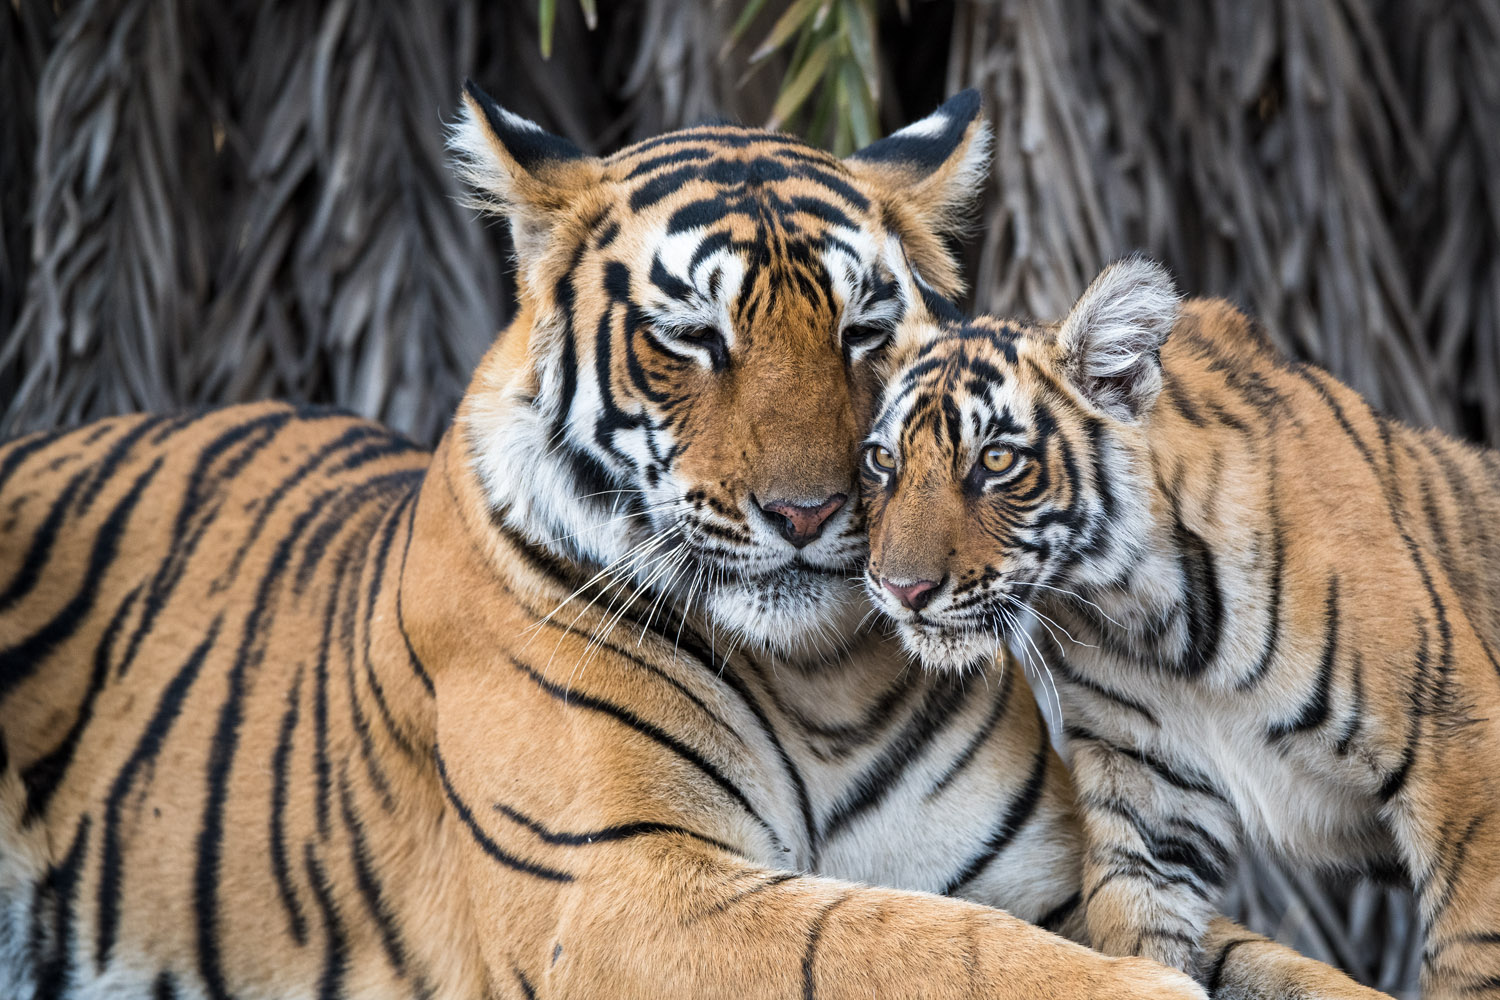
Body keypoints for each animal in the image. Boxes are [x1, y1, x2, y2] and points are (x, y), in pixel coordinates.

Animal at [2, 86, 1380, 1000]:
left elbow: (1276, 963)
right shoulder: (623, 888)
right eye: (692, 339)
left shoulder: (1045, 868)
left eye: (864, 329)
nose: (814, 514)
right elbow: (900, 942)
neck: (824, 679)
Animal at [864, 254, 1500, 995]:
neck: (1148, 619)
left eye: (996, 461)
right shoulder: (1146, 795)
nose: (902, 589)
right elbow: (1142, 933)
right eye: (883, 460)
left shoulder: (1460, 751)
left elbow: (1470, 953)